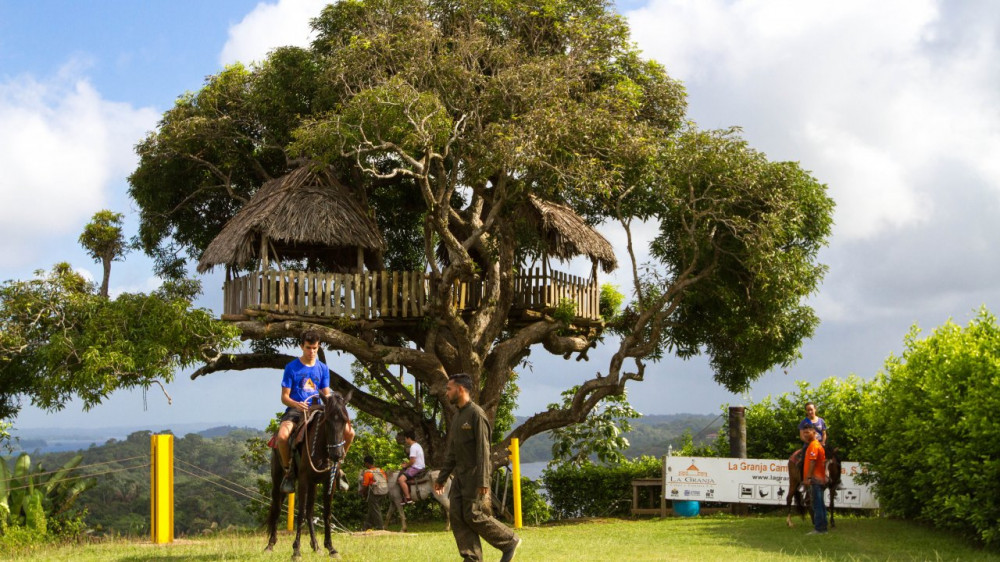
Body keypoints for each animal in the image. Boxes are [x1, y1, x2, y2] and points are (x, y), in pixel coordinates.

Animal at [268, 390, 354, 556]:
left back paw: (316, 546)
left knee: (309, 512)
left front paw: (331, 548)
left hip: (314, 484)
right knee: (277, 507)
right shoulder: (303, 480)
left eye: (345, 421)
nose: (337, 454)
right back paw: (270, 545)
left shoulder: (329, 482)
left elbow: (326, 514)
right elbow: (300, 514)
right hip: (278, 478)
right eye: (327, 421)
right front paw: (296, 550)